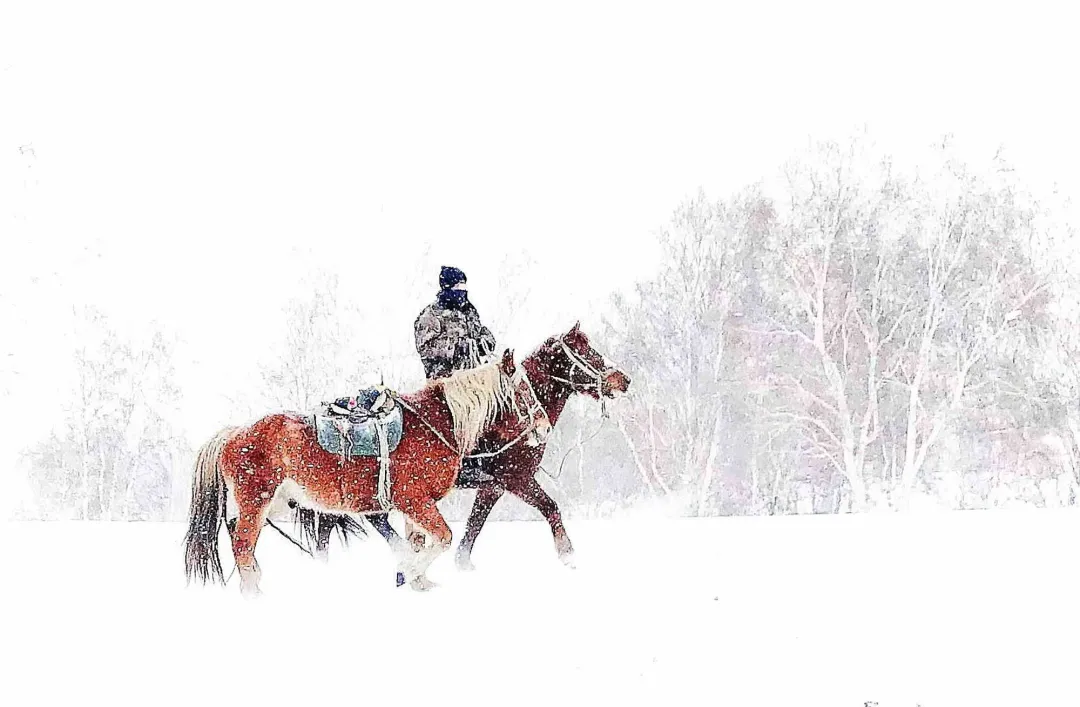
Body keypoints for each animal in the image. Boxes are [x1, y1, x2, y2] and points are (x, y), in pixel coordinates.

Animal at [183, 349, 548, 595]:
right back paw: (253, 593)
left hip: (276, 502)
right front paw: (408, 573)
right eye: (524, 391)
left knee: (237, 534)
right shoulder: (415, 501)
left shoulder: (415, 507)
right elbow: (441, 539)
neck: (434, 425)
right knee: (243, 543)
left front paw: (419, 581)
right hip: (256, 500)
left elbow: (417, 541)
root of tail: (235, 433)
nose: (544, 426)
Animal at [300, 323, 630, 582]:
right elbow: (550, 507)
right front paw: (568, 556)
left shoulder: (492, 486)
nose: (622, 380)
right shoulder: (516, 479)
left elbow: (475, 523)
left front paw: (463, 563)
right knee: (348, 523)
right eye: (586, 351)